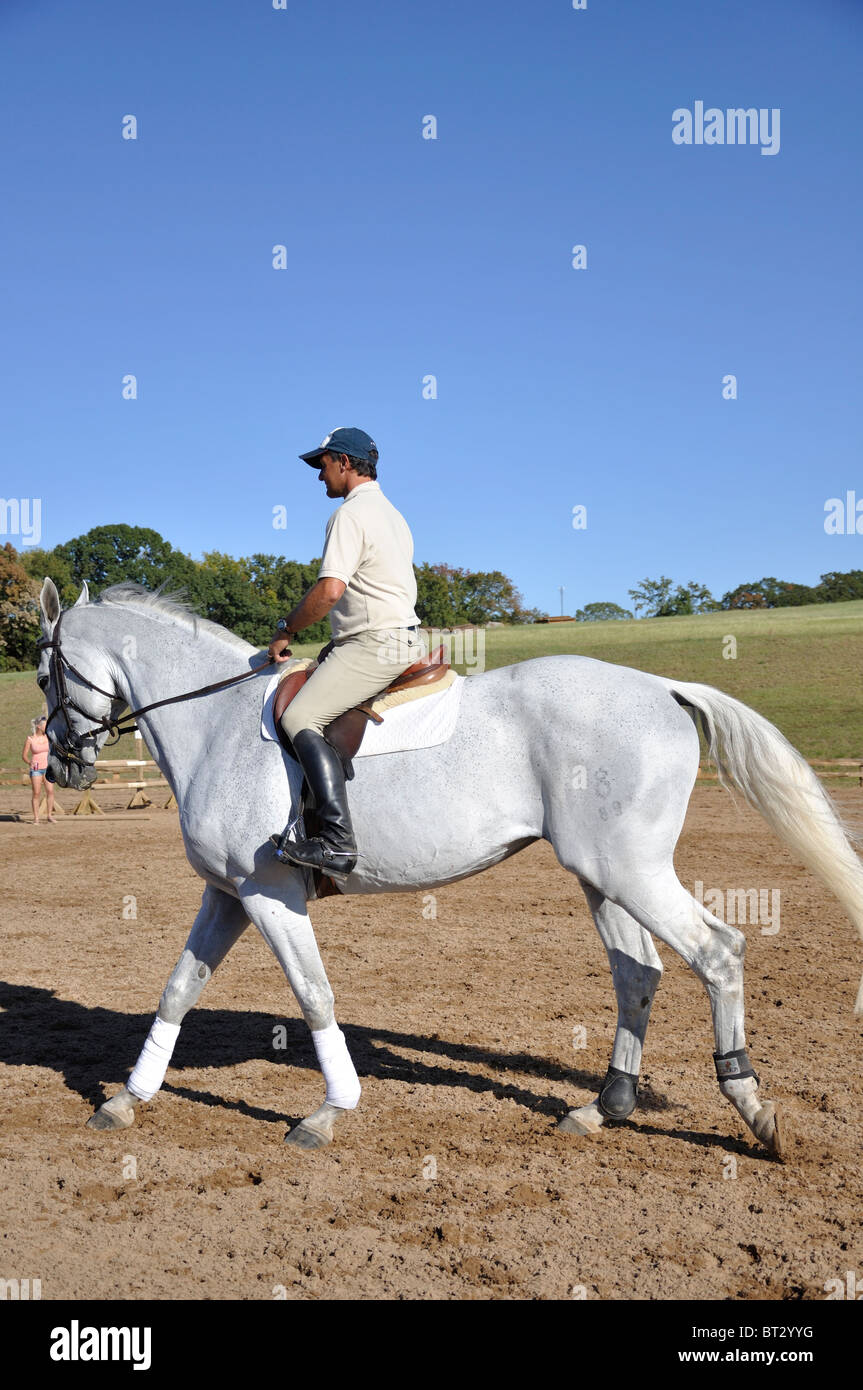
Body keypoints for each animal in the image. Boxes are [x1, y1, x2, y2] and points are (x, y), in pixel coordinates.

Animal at [35, 577, 863, 1157]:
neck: (216, 724)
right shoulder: (228, 894)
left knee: (717, 952)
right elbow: (177, 989)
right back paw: (602, 1109)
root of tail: (661, 688)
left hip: (631, 872)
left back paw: (752, 1110)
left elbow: (314, 994)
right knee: (639, 974)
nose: (62, 763)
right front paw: (125, 1099)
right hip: (602, 875)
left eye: (45, 675)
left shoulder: (270, 894)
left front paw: (328, 1111)